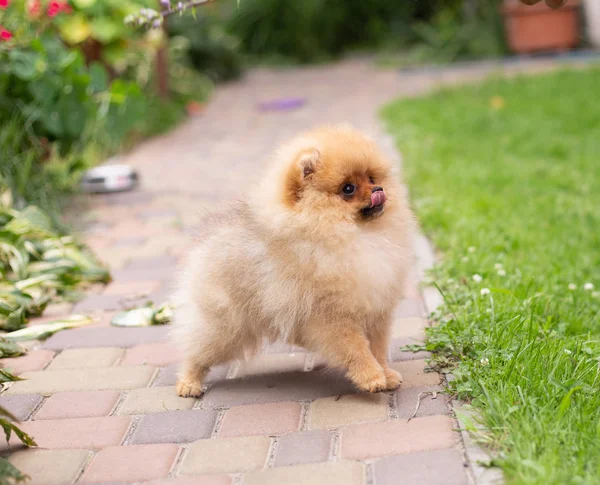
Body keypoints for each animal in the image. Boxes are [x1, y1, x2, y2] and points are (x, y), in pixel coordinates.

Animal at [171, 123, 414, 396]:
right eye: (348, 189)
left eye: (372, 178)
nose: (378, 191)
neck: (358, 236)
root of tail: (202, 247)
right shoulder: (331, 316)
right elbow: (356, 348)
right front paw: (371, 377)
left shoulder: (376, 309)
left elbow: (378, 348)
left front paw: (386, 373)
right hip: (224, 326)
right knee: (197, 350)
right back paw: (189, 382)